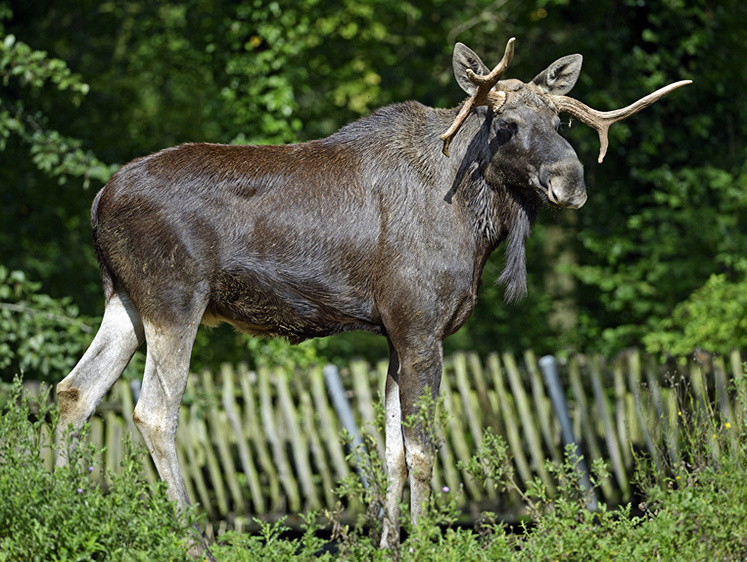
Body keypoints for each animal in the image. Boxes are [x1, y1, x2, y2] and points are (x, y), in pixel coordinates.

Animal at [57, 37, 688, 552]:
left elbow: (391, 451)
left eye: (561, 120)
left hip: (125, 302)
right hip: (174, 299)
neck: (477, 223)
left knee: (73, 393)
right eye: (504, 122)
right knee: (153, 411)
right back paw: (194, 542)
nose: (570, 180)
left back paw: (66, 512)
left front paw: (391, 544)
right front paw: (427, 540)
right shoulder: (421, 327)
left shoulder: (394, 332)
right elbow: (423, 448)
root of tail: (98, 202)